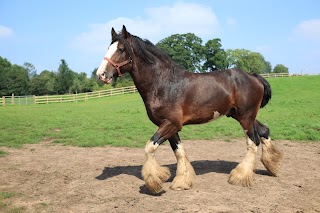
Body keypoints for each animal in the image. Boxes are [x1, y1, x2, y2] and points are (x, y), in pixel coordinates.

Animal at [95, 25, 282, 194]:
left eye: (121, 49)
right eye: (109, 47)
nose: (101, 74)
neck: (163, 84)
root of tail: (253, 76)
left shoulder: (171, 124)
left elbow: (150, 147)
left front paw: (155, 183)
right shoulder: (170, 126)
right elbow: (179, 152)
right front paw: (182, 181)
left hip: (245, 117)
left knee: (253, 142)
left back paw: (240, 177)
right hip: (241, 115)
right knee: (264, 131)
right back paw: (272, 167)